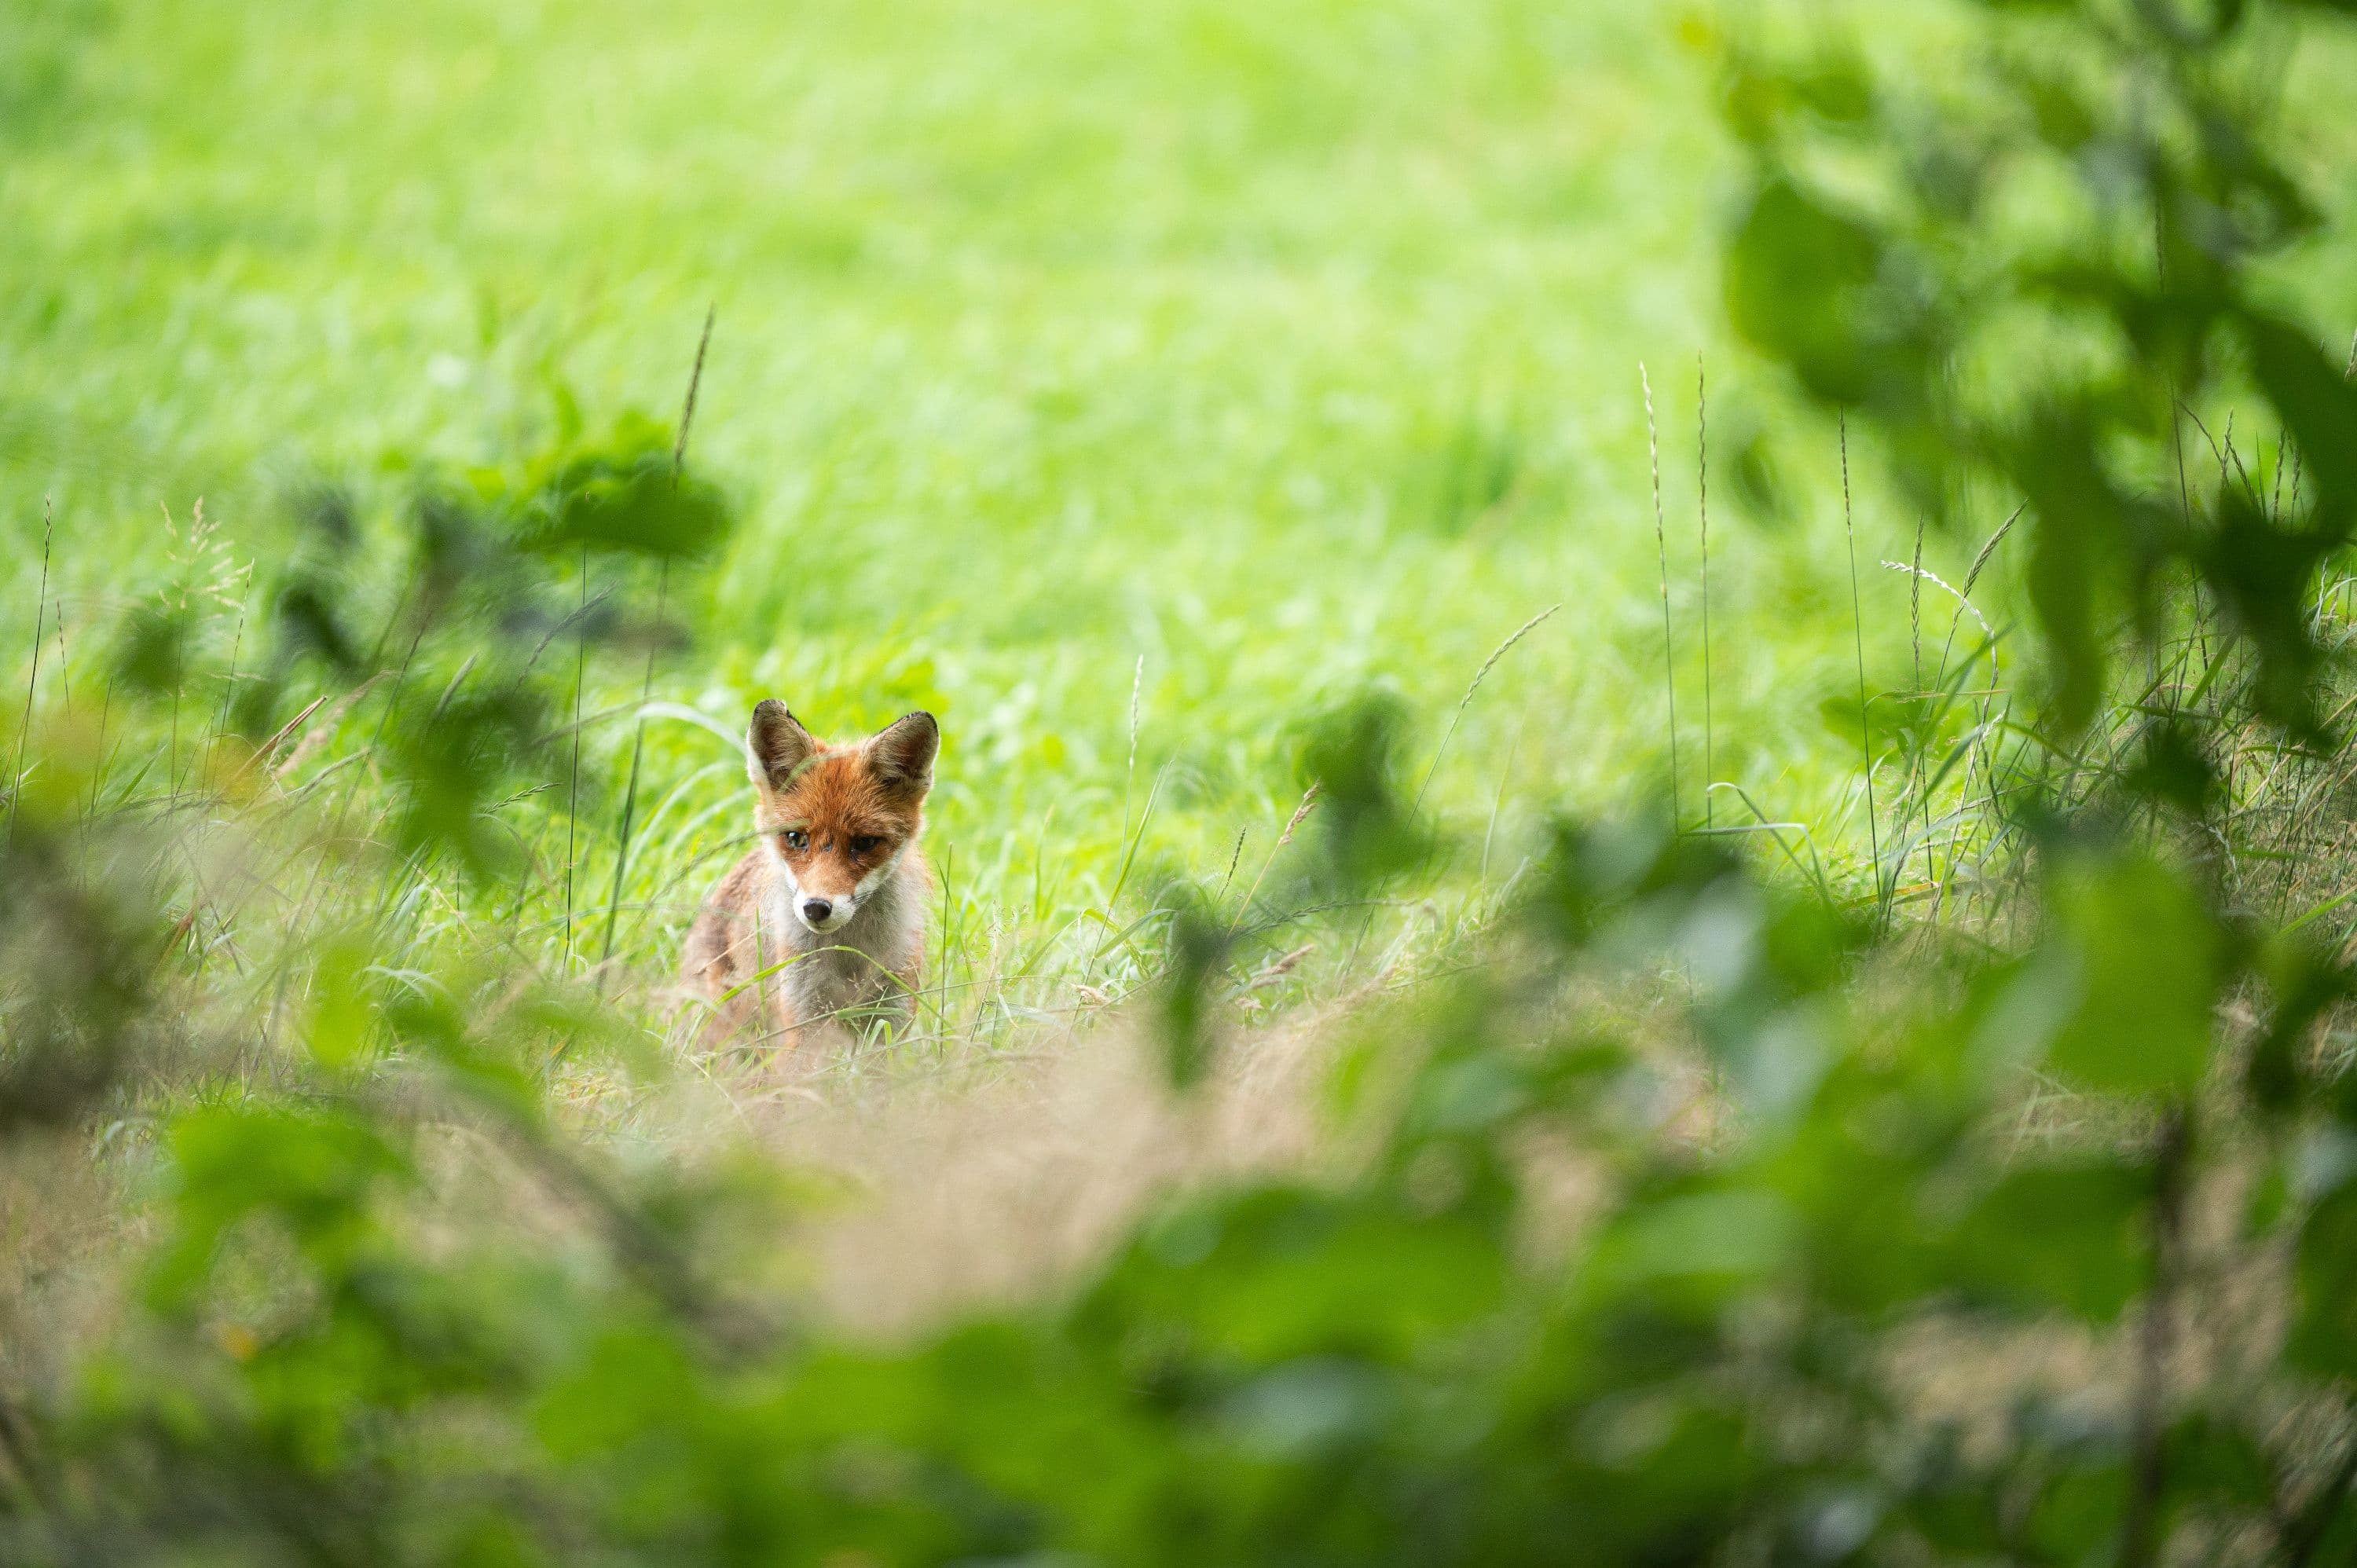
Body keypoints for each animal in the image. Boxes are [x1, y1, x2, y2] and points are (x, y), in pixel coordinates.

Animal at [679, 698, 933, 1046]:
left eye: (864, 843)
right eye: (796, 838)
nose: (816, 908)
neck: (848, 953)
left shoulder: (891, 1013)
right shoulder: (803, 1018)